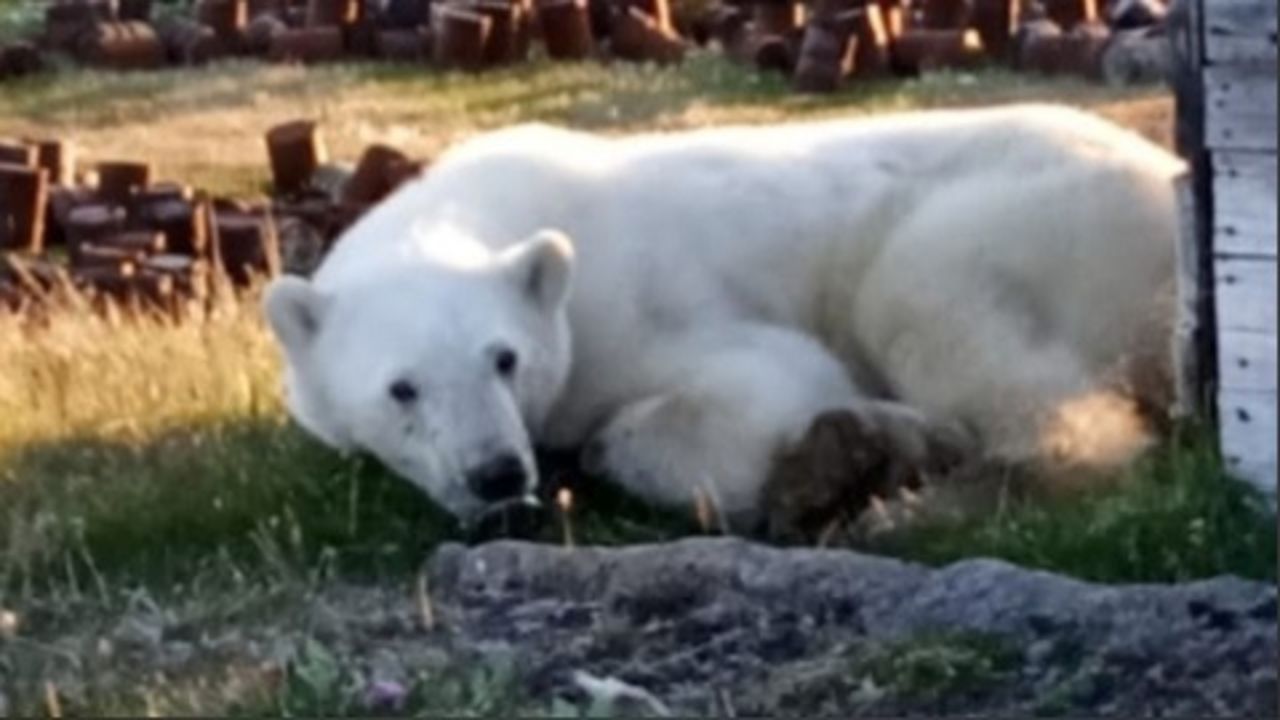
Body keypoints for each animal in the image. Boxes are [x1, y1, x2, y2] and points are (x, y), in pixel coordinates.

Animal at [259, 103, 1177, 532]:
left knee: (933, 306)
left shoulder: (636, 306)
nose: (496, 474)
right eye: (402, 389)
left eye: (505, 358)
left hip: (1032, 217)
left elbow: (762, 384)